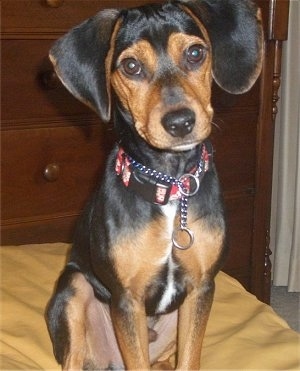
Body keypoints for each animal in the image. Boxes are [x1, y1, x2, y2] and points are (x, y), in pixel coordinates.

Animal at [45, 0, 262, 370]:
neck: (170, 185)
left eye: (195, 53)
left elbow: (189, 359)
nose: (180, 122)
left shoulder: (201, 286)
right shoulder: (127, 298)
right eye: (131, 66)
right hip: (74, 287)